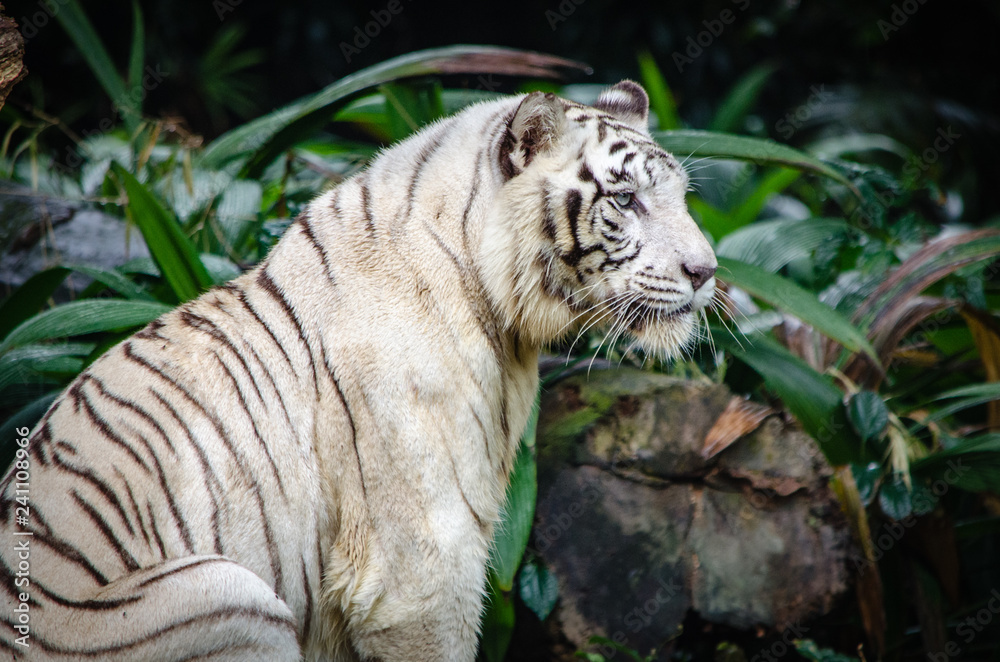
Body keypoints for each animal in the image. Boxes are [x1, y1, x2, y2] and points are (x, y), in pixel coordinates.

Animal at [0, 80, 716, 661]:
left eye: (682, 197)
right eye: (625, 200)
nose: (707, 271)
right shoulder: (422, 571)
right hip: (233, 594)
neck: (502, 319)